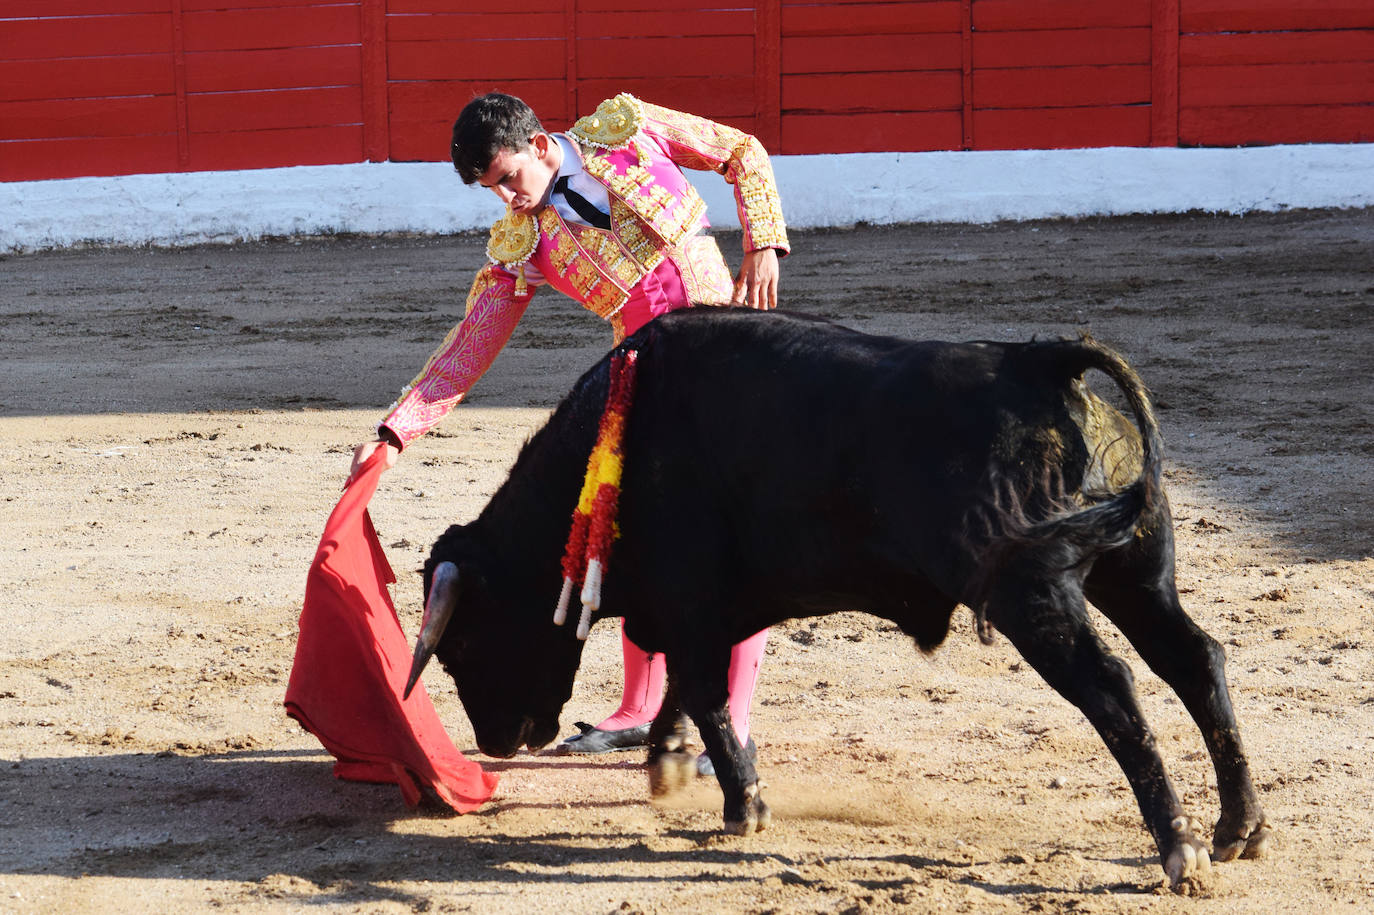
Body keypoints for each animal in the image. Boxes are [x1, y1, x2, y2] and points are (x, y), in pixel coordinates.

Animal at [401, 305, 1269, 884]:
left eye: (464, 641)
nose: (498, 739)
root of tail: (1041, 364)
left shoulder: (689, 599)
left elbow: (704, 689)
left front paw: (741, 804)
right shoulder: (696, 611)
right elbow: (689, 689)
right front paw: (672, 763)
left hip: (1034, 592)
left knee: (1113, 687)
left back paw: (1180, 848)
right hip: (1136, 572)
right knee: (1197, 660)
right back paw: (1238, 827)